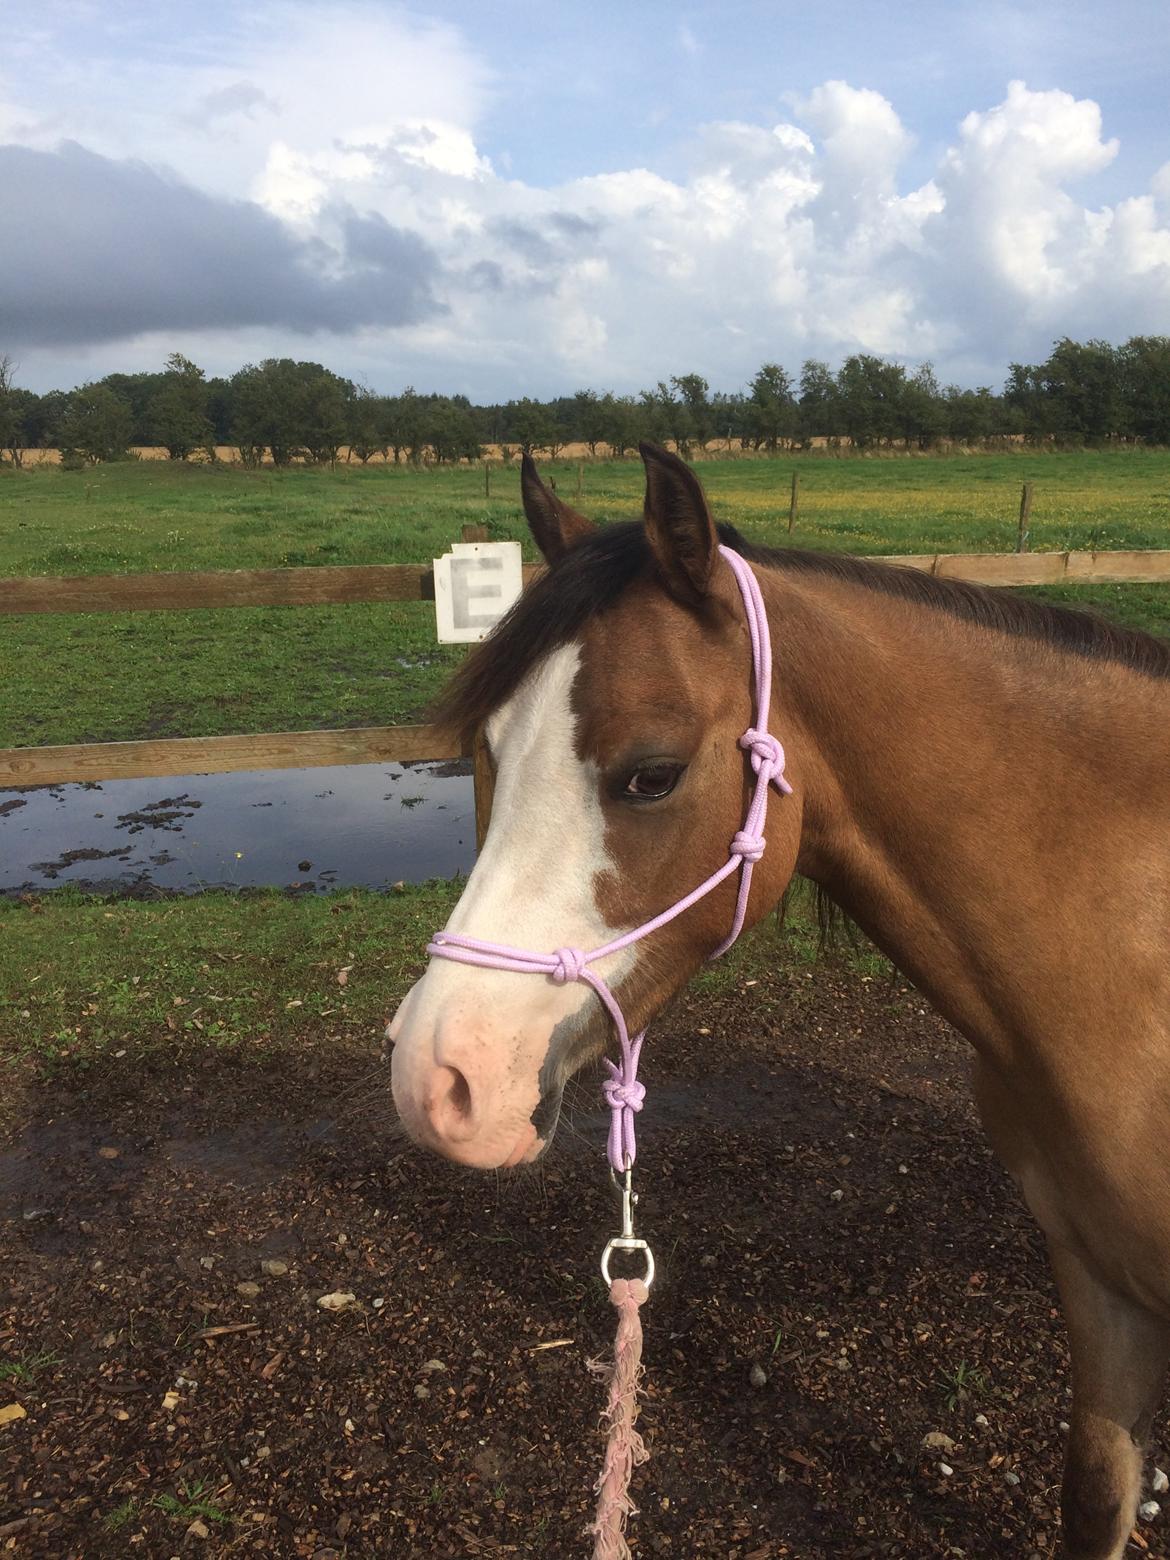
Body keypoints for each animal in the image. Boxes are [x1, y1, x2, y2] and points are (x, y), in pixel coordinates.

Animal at [389, 442, 1170, 1560]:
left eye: (652, 775)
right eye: (486, 749)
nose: (438, 1079)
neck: (1131, 955)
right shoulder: (1098, 1283)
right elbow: (1099, 1494)